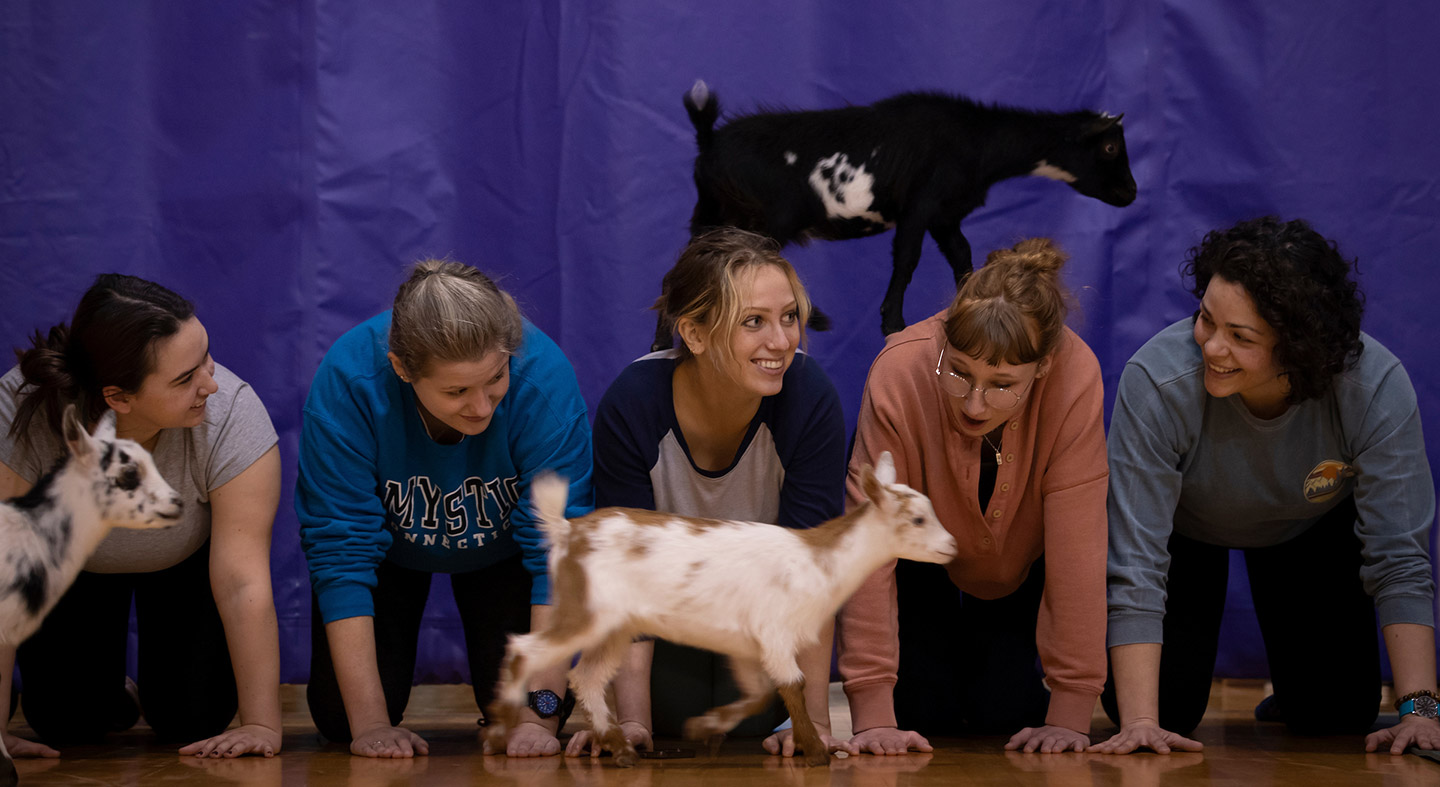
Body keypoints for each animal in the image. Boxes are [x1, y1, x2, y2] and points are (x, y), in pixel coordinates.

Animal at [483, 451, 956, 765]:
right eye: (917, 520)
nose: (952, 546)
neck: (820, 560)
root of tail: (567, 532)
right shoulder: (775, 633)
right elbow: (794, 686)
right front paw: (816, 752)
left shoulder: (748, 644)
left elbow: (760, 692)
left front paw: (706, 728)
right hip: (584, 611)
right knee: (526, 650)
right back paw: (501, 730)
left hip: (615, 626)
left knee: (587, 677)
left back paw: (619, 748)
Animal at [653, 81, 1134, 349]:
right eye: (1111, 146)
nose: (1131, 193)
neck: (977, 139)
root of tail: (709, 141)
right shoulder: (921, 206)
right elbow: (907, 259)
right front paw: (893, 323)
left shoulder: (945, 216)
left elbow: (962, 257)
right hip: (764, 217)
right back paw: (816, 317)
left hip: (710, 214)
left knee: (683, 273)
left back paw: (662, 342)